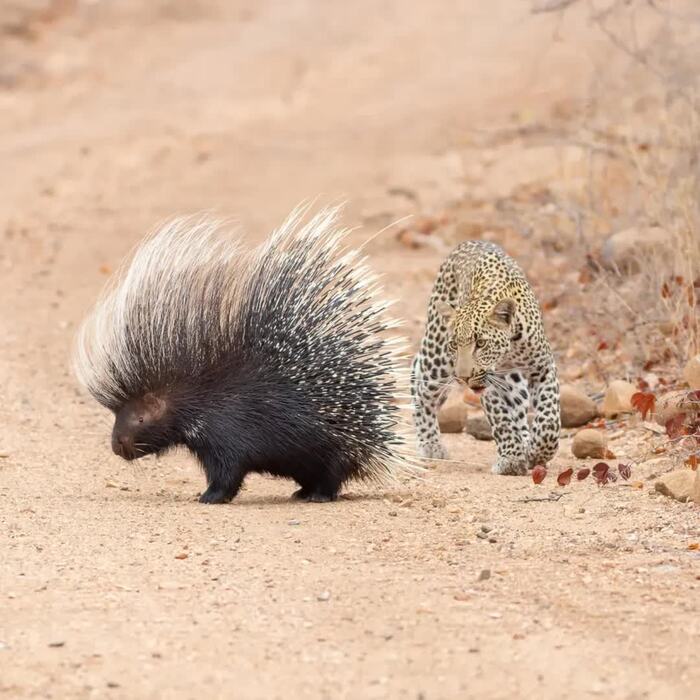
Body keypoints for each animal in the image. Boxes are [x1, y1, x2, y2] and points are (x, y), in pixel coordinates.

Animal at [411, 240, 560, 475]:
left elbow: (549, 419)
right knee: (420, 383)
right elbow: (502, 421)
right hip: (437, 361)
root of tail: (470, 241)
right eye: (455, 344)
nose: (463, 378)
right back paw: (430, 444)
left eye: (480, 343)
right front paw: (511, 460)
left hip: (512, 381)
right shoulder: (488, 383)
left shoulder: (543, 367)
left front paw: (536, 452)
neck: (510, 348)